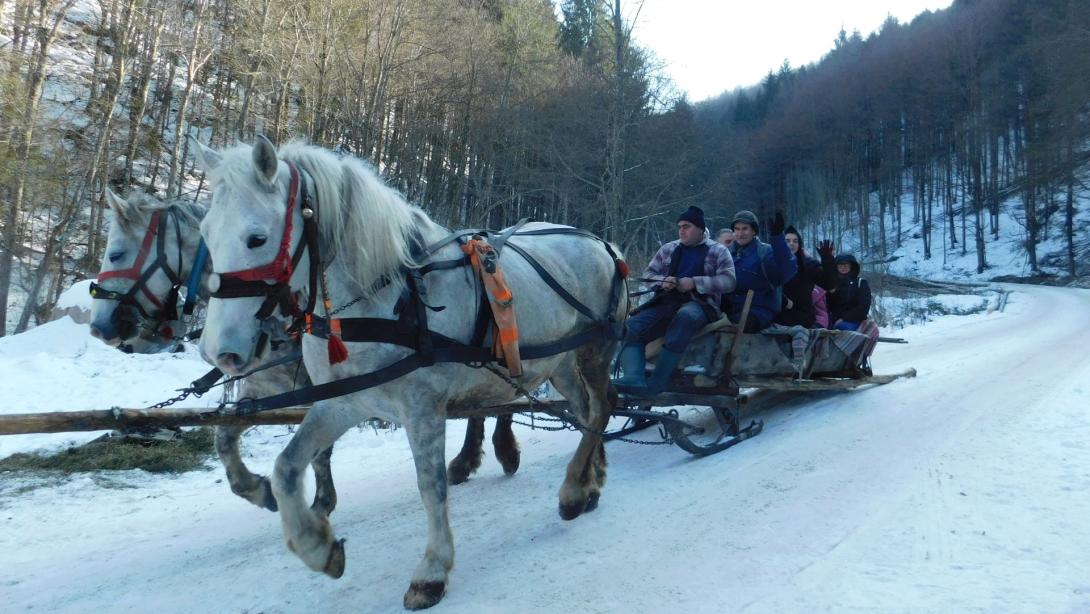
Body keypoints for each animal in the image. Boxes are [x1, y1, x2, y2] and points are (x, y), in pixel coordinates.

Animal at [89, 190, 335, 514]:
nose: (98, 326)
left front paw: (322, 503)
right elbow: (225, 439)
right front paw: (259, 490)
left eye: (116, 254)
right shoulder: (265, 386)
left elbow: (320, 449)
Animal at [191, 135, 627, 610]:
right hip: (560, 363)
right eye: (205, 234)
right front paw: (317, 545)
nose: (218, 350)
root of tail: (603, 243)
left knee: (601, 408)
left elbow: (430, 486)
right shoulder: (344, 401)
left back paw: (572, 492)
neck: (387, 299)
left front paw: (432, 571)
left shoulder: (423, 408)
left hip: (595, 351)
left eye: (257, 238)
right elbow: (287, 468)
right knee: (585, 413)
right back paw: (590, 483)